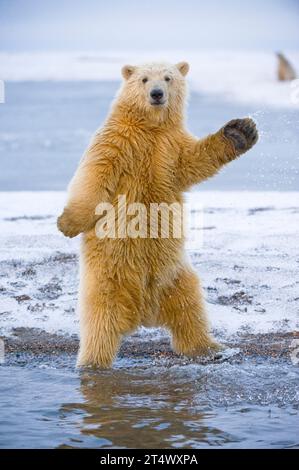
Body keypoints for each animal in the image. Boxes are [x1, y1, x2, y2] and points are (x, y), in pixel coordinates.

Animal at [57, 61, 258, 368]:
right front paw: (67, 223)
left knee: (191, 307)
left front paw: (240, 131)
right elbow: (95, 176)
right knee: (99, 319)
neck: (150, 127)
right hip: (108, 276)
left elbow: (193, 161)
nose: (156, 94)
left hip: (174, 275)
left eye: (168, 77)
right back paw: (92, 362)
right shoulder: (118, 141)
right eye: (143, 79)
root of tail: (144, 313)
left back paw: (210, 348)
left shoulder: (170, 147)